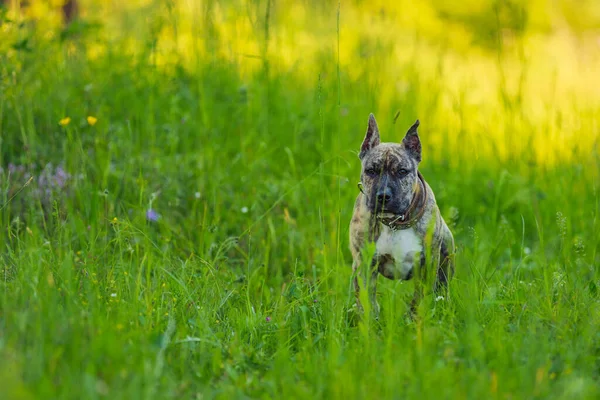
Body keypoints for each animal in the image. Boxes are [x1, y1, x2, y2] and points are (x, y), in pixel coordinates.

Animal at [346, 114, 454, 320]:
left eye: (402, 171)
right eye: (371, 171)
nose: (383, 196)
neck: (394, 222)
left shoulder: (428, 264)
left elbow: (419, 298)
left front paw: (414, 320)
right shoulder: (364, 264)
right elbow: (367, 300)